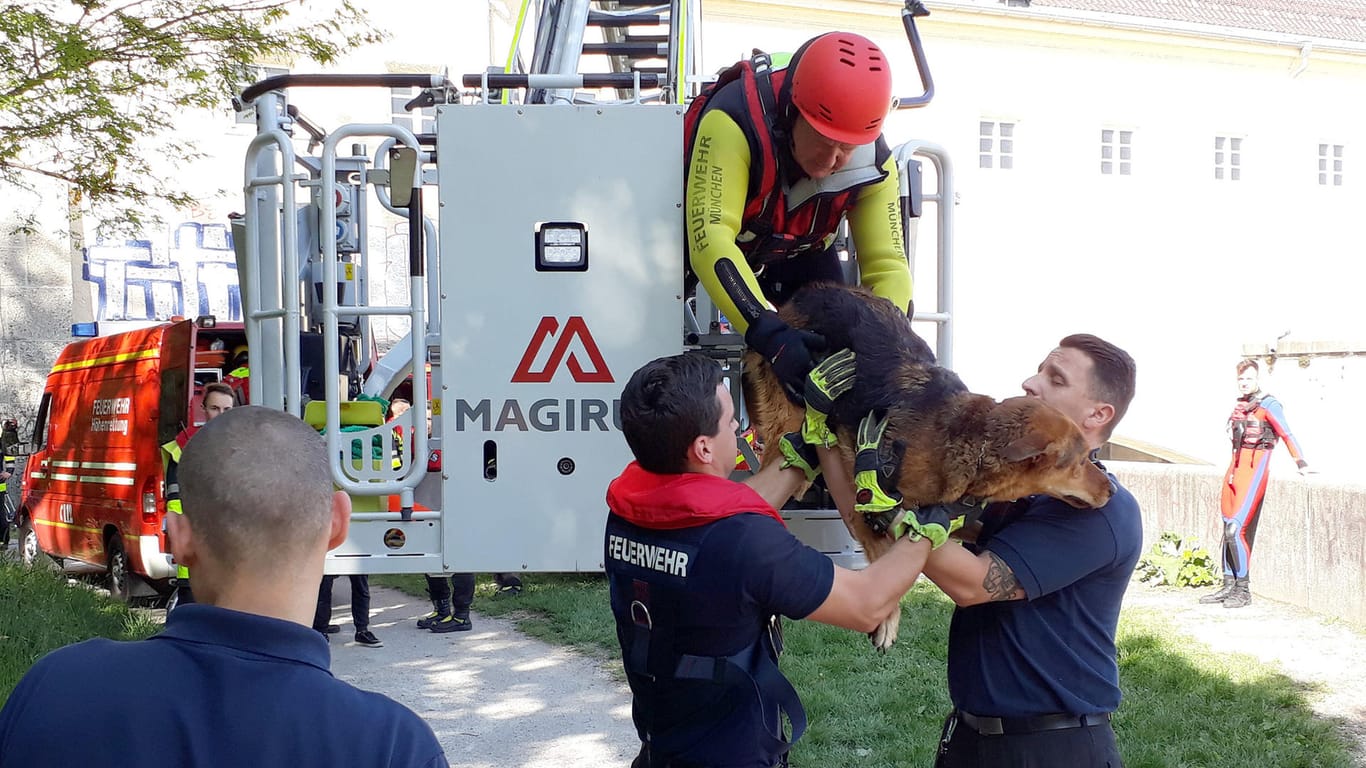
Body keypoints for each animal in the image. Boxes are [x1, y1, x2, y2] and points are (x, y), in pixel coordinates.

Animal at [743, 281, 1114, 645]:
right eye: (1081, 461)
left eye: (1089, 456)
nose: (1110, 489)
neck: (970, 439)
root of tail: (806, 292)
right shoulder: (861, 498)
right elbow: (880, 551)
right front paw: (887, 618)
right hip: (787, 413)